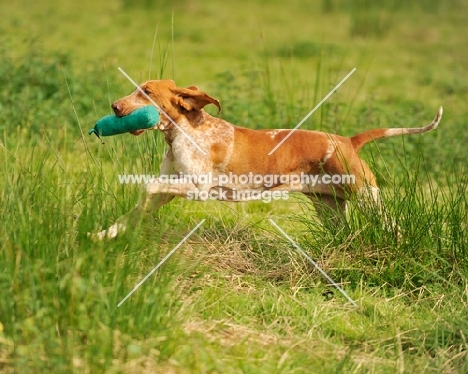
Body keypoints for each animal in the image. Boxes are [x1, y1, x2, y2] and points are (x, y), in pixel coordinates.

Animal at [93, 79, 444, 240]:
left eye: (147, 93)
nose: (114, 107)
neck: (187, 130)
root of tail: (348, 141)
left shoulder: (197, 189)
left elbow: (148, 186)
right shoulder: (171, 188)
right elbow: (133, 210)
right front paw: (102, 236)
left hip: (367, 198)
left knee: (394, 227)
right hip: (329, 208)